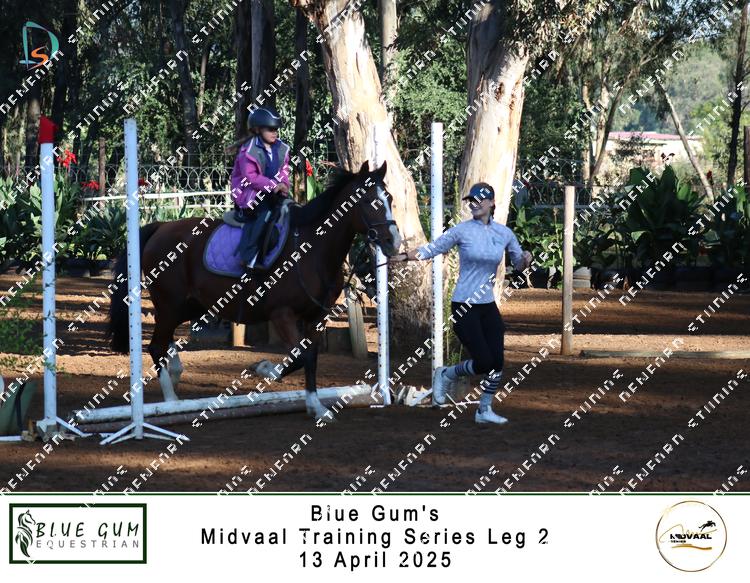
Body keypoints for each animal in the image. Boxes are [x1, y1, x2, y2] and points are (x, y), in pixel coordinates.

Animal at [106, 160, 402, 422]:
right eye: (369, 201)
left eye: (388, 197)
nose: (393, 241)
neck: (312, 251)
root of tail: (160, 227)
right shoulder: (282, 315)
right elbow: (298, 358)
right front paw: (264, 368)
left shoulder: (316, 318)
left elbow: (310, 359)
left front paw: (315, 406)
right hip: (172, 304)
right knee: (156, 345)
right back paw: (170, 401)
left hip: (189, 305)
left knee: (163, 338)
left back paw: (176, 373)